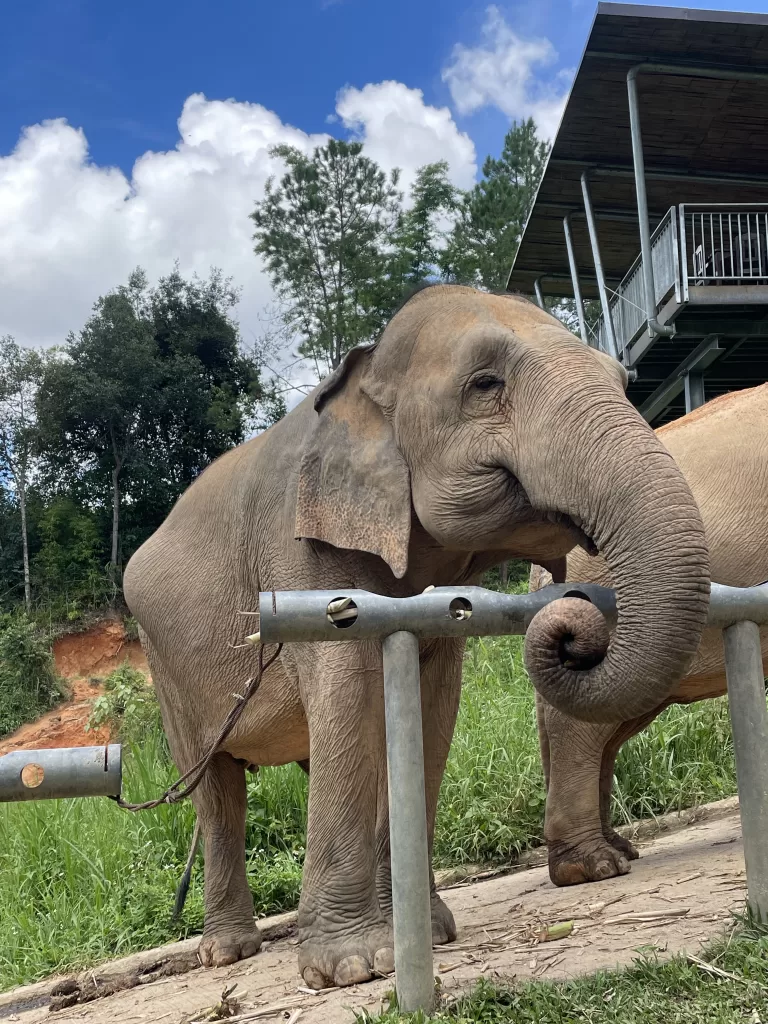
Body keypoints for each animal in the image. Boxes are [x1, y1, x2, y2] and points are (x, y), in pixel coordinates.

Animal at [123, 284, 709, 990]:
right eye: (486, 384)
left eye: (623, 382)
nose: (575, 621)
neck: (364, 374)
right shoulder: (302, 554)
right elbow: (347, 693)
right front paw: (352, 969)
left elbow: (430, 707)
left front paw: (425, 934)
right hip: (166, 669)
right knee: (217, 789)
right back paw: (228, 953)